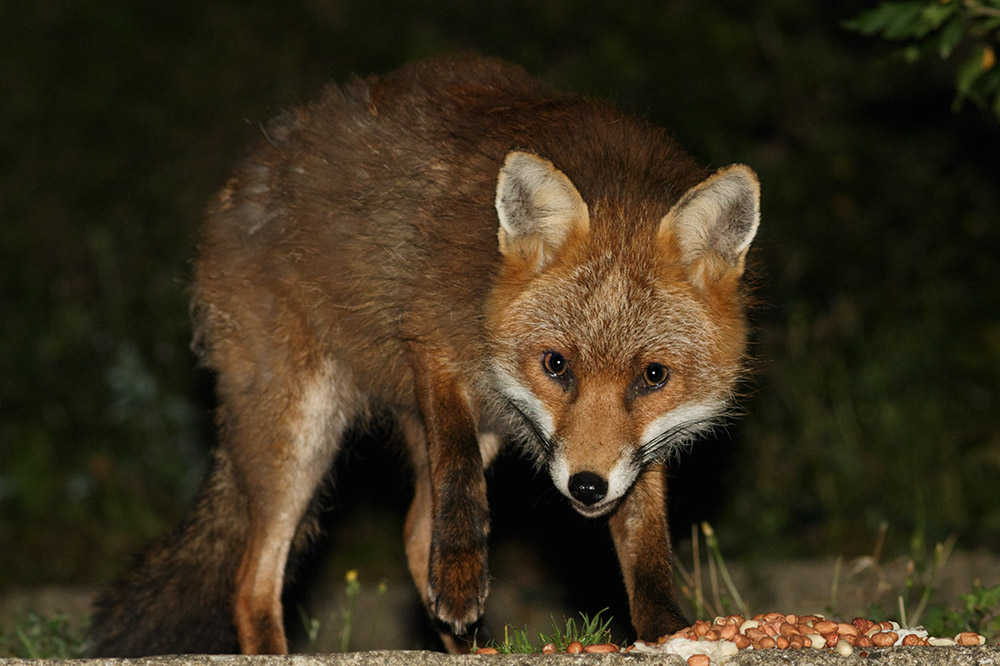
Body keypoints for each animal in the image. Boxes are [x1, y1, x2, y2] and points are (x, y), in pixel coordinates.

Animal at [89, 54, 760, 656]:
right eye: (556, 365)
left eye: (653, 376)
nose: (587, 487)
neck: (484, 286)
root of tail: (246, 174)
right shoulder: (432, 344)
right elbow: (459, 480)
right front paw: (461, 578)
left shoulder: (635, 449)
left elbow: (646, 541)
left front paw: (667, 631)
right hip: (299, 432)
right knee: (252, 582)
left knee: (412, 536)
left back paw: (472, 647)